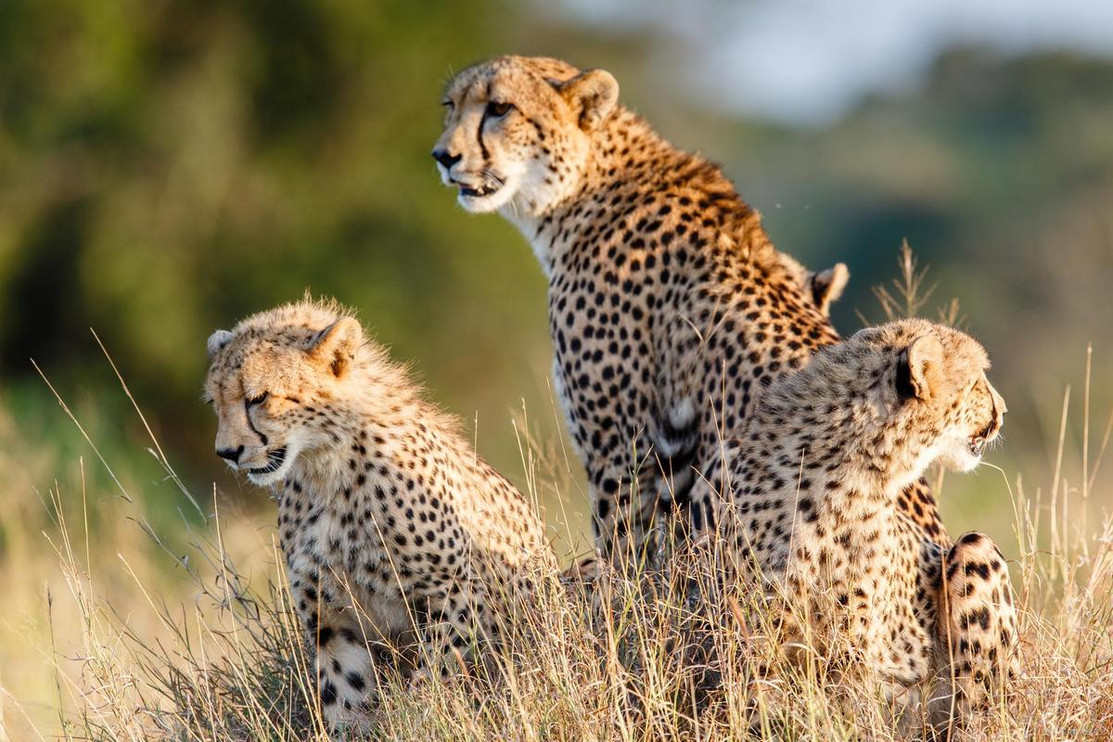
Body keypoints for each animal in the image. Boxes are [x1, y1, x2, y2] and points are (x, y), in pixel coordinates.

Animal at [203, 299, 555, 730]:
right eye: (215, 404)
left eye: (259, 398)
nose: (227, 452)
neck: (326, 467)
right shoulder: (332, 618)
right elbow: (344, 693)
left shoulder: (456, 594)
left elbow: (434, 679)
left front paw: (421, 722)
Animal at [432, 54, 943, 563]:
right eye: (450, 106)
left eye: (500, 108)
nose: (443, 156)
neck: (584, 188)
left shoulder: (621, 446)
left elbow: (621, 544)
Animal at [697, 318, 1019, 732]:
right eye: (977, 382)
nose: (1004, 411)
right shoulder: (757, 636)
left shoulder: (855, 650)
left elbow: (854, 712)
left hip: (975, 550)